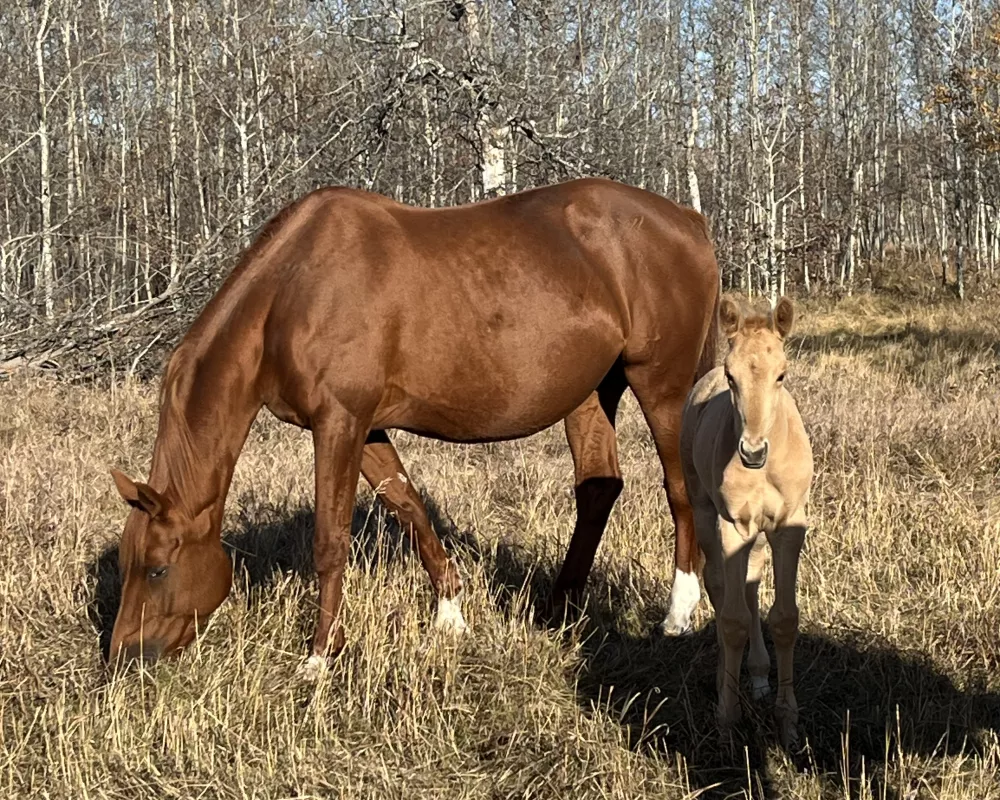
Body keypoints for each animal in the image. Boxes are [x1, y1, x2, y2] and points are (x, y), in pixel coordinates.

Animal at [107, 178, 720, 672]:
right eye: (126, 562)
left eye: (158, 569)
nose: (121, 659)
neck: (292, 289)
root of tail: (688, 220)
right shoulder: (365, 428)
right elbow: (407, 506)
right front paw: (451, 613)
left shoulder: (339, 422)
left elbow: (330, 540)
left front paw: (319, 657)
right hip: (592, 393)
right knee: (598, 488)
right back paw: (558, 609)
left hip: (661, 384)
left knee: (679, 486)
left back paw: (678, 613)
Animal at [664, 296, 812, 752]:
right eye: (732, 377)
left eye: (782, 374)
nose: (752, 452)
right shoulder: (733, 524)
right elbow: (731, 619)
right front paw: (728, 722)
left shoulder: (788, 527)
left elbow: (784, 618)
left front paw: (788, 723)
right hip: (704, 509)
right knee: (717, 584)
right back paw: (723, 680)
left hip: (759, 536)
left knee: (750, 583)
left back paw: (760, 676)